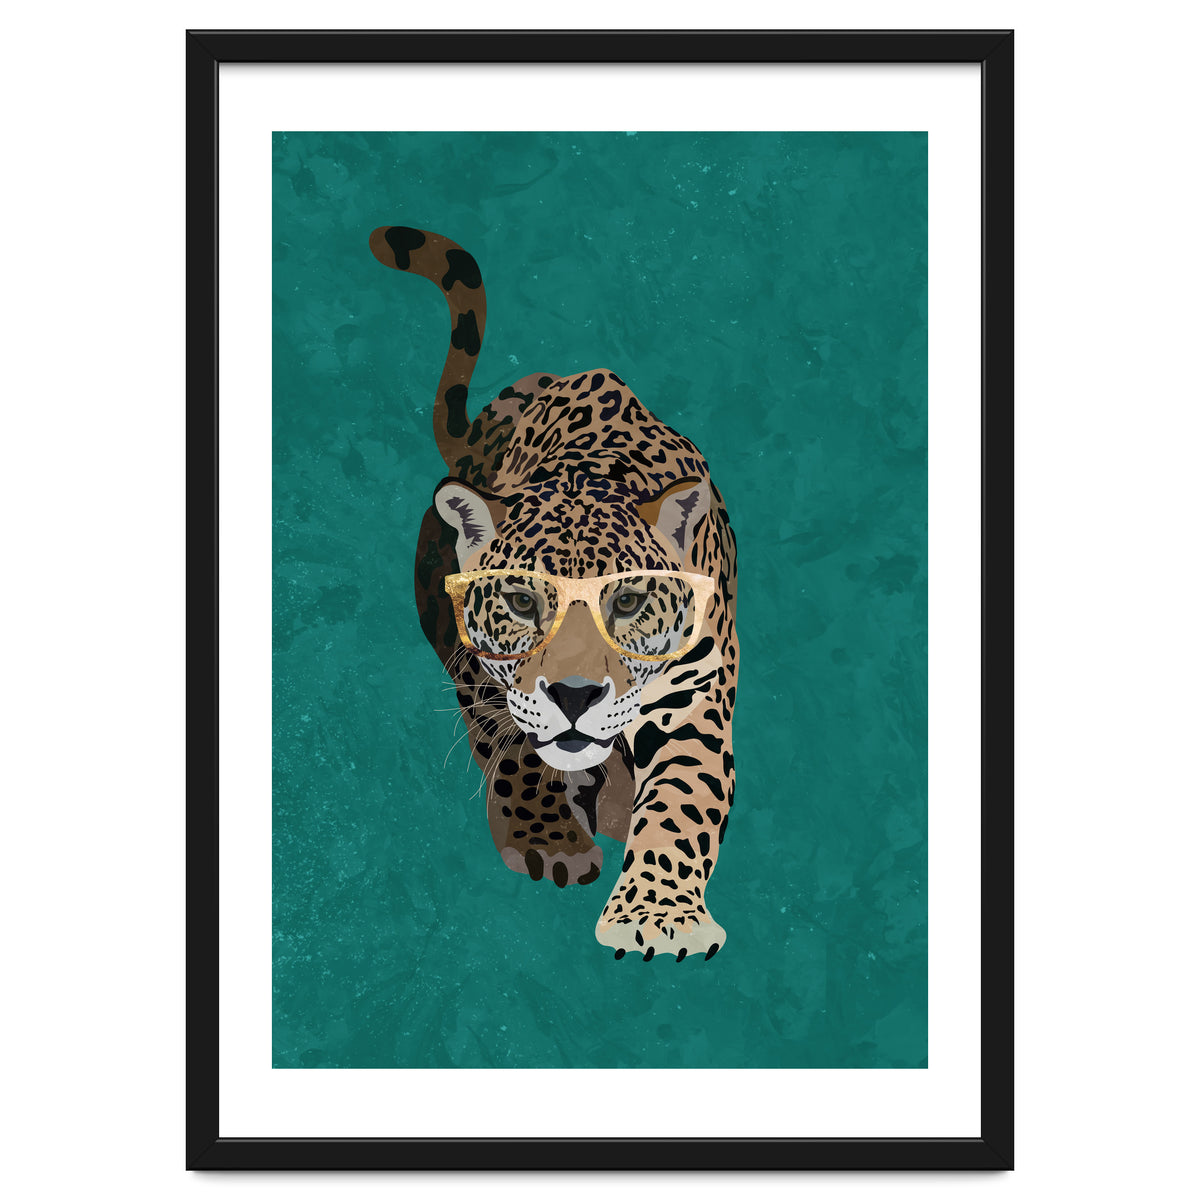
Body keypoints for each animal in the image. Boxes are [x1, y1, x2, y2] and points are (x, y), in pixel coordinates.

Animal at [369, 225, 738, 962]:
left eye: (626, 602)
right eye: (521, 602)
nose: (574, 696)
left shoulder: (694, 692)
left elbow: (682, 800)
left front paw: (658, 916)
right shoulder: (483, 673)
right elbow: (516, 750)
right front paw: (549, 841)